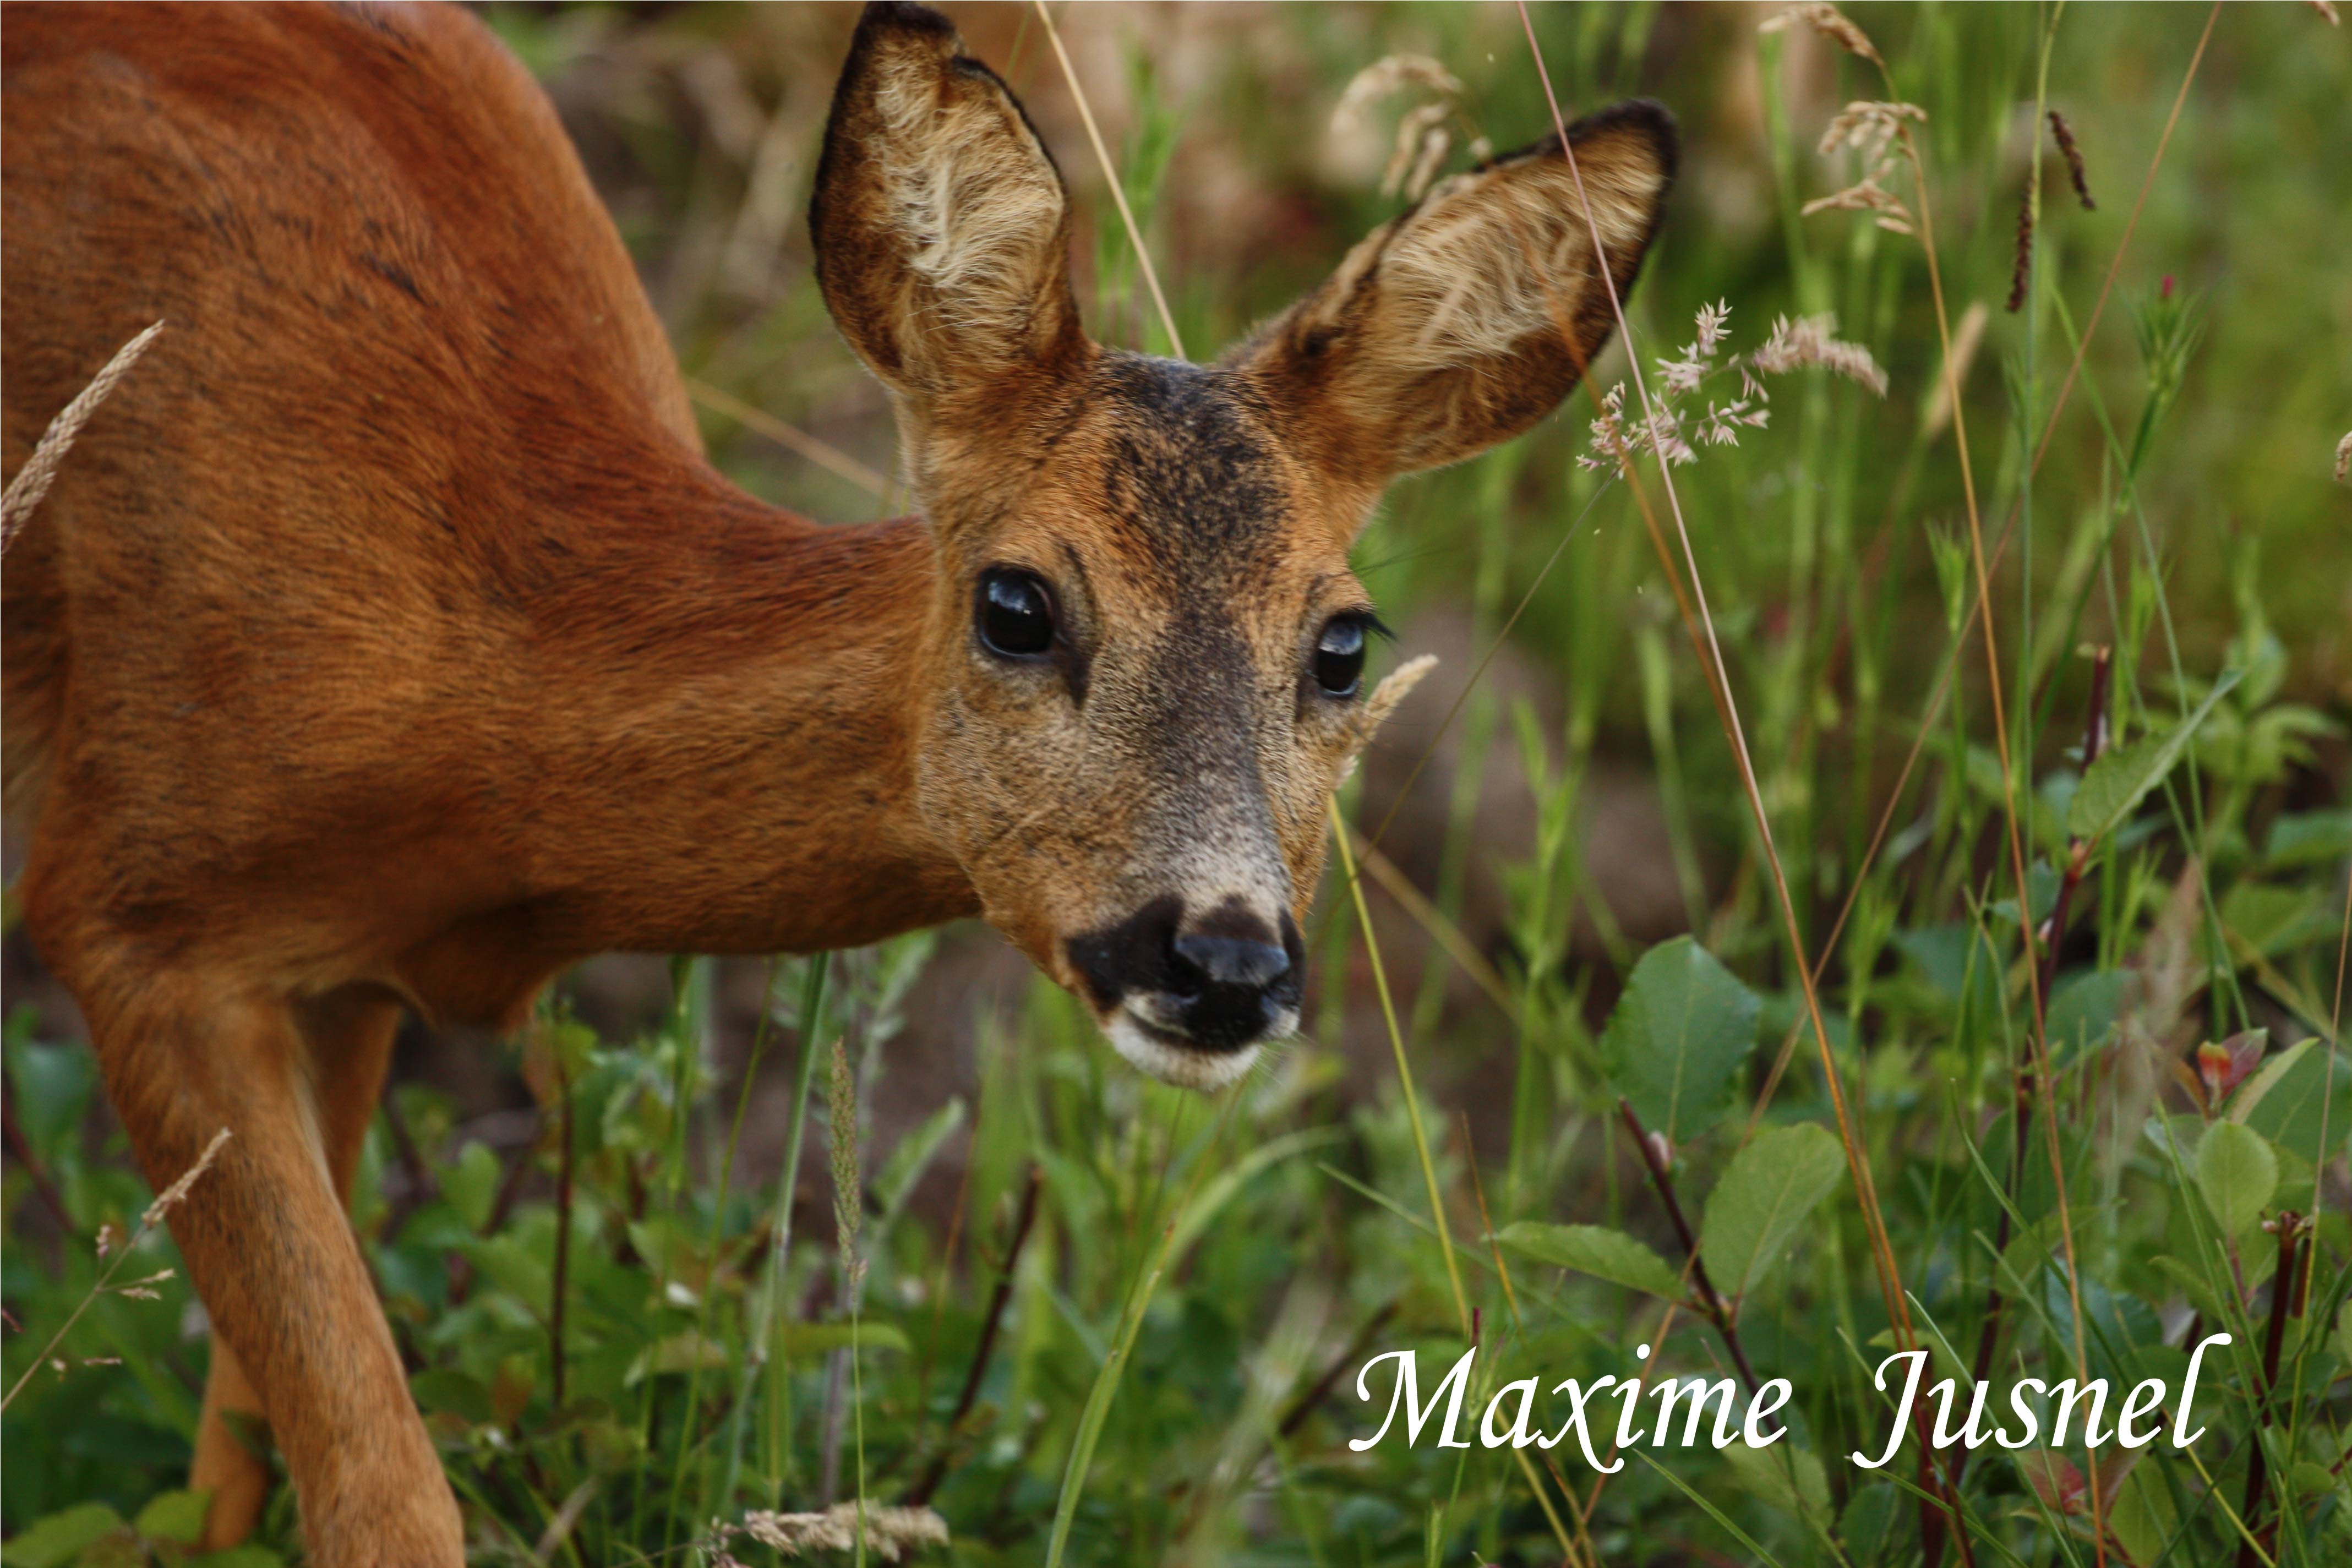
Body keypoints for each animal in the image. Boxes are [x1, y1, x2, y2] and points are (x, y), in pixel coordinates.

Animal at [0, 0, 1674, 1561]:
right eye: (1016, 603)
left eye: (1341, 642)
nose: (1222, 963)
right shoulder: (121, 894)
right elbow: (384, 1499)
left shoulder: (345, 978)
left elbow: (236, 1465)